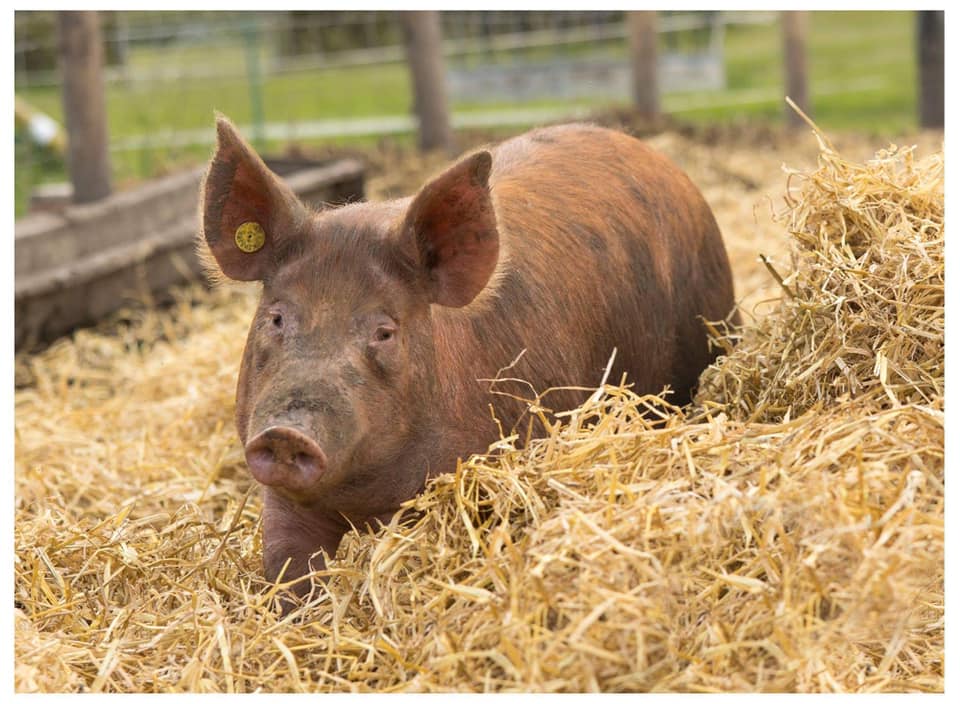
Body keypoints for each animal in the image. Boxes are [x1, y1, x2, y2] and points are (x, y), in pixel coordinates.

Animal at [199, 116, 738, 602]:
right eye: (276, 318)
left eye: (384, 331)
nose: (286, 434)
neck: (362, 500)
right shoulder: (284, 503)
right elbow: (288, 570)